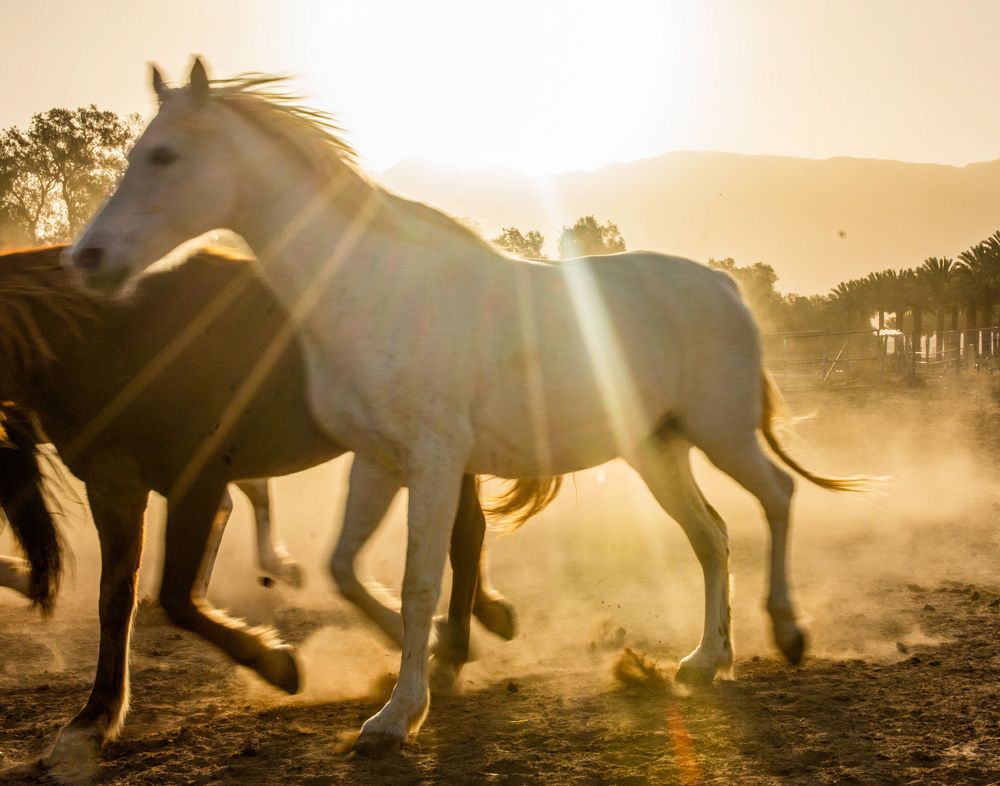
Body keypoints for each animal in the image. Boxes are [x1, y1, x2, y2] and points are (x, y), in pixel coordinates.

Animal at [0, 245, 523, 767]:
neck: (114, 341)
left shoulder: (198, 482)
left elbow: (177, 598)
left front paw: (275, 663)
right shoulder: (113, 488)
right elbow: (114, 599)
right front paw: (94, 718)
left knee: (465, 536)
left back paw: (451, 648)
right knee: (468, 533)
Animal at [70, 58, 864, 754]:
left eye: (165, 155)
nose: (88, 259)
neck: (372, 288)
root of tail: (725, 287)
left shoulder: (433, 460)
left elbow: (422, 579)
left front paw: (397, 717)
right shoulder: (377, 462)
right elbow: (344, 568)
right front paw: (430, 653)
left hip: (721, 433)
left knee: (778, 498)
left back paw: (787, 632)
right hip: (657, 452)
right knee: (713, 538)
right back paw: (705, 661)